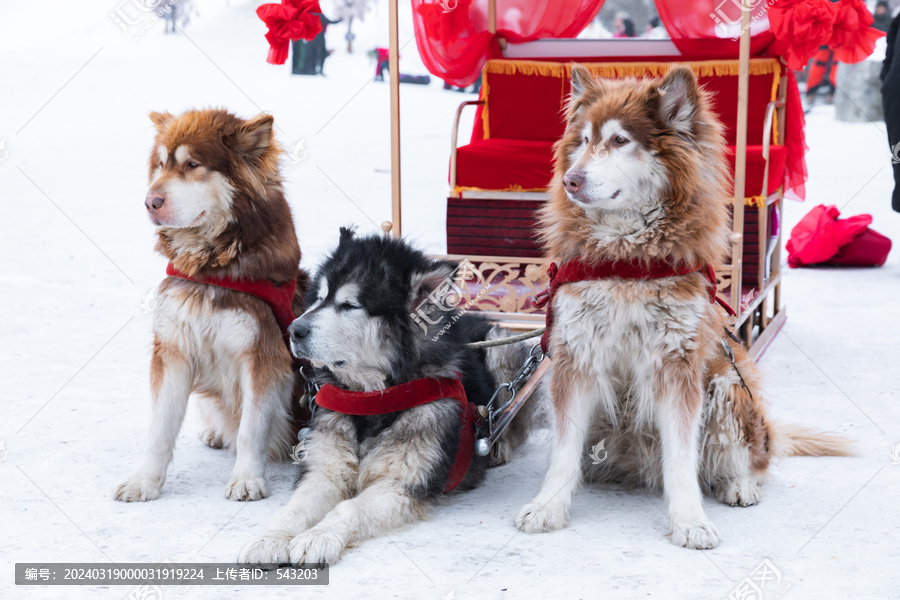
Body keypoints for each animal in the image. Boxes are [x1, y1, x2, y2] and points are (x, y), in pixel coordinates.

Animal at [236, 227, 540, 564]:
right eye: (319, 298)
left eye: (349, 305)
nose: (293, 330)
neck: (371, 399)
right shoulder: (325, 469)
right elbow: (296, 507)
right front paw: (270, 537)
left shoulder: (401, 483)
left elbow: (348, 509)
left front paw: (319, 536)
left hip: (501, 351)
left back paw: (497, 444)